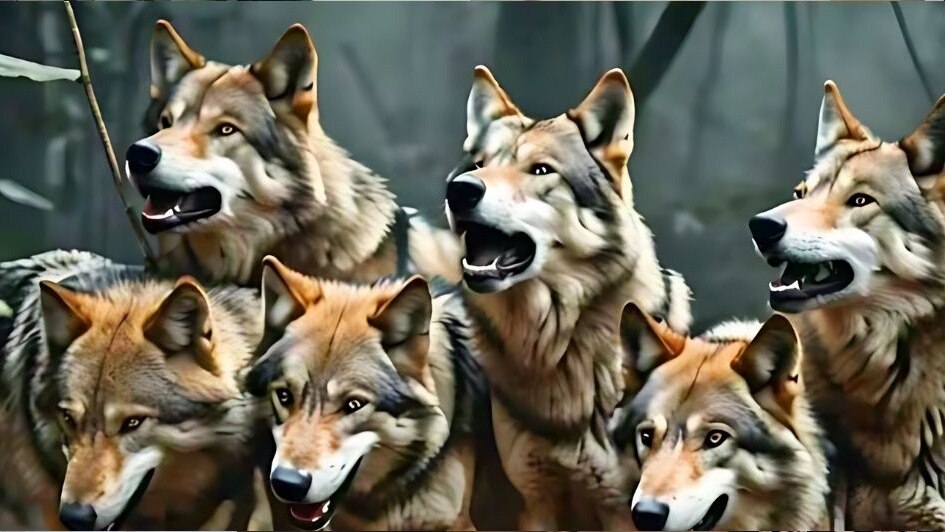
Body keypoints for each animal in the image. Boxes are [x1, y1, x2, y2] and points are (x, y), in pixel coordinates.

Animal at [444, 65, 692, 529]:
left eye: (541, 170)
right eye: (479, 165)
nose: (460, 189)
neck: (561, 349)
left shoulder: (622, 507)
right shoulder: (535, 500)